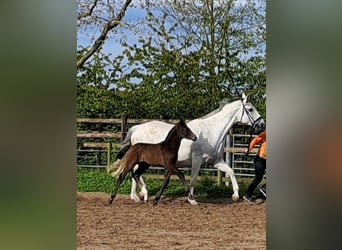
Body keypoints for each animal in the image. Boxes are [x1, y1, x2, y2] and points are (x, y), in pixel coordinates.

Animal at [108, 93, 266, 204]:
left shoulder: (215, 161)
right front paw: (191, 198)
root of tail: (136, 128)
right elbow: (193, 179)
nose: (262, 124)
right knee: (133, 173)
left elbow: (231, 171)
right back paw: (139, 195)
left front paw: (235, 195)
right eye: (251, 109)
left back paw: (139, 195)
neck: (211, 130)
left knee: (134, 174)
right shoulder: (197, 160)